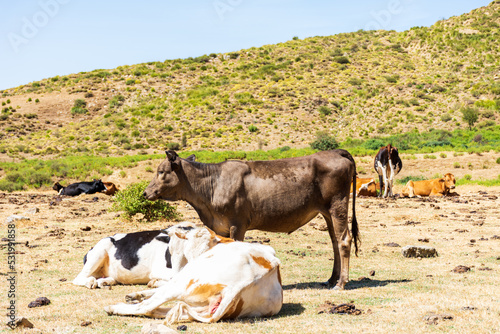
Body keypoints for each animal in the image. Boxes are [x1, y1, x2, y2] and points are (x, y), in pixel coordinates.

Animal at [103, 224, 284, 324]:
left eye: (175, 249)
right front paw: (136, 294)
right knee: (164, 310)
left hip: (183, 282)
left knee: (147, 307)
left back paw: (113, 307)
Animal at [145, 150, 360, 290]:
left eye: (161, 171)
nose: (146, 192)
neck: (212, 185)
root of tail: (336, 152)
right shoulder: (221, 227)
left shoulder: (237, 224)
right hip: (327, 212)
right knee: (334, 241)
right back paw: (331, 279)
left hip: (338, 204)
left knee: (344, 240)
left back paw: (341, 283)